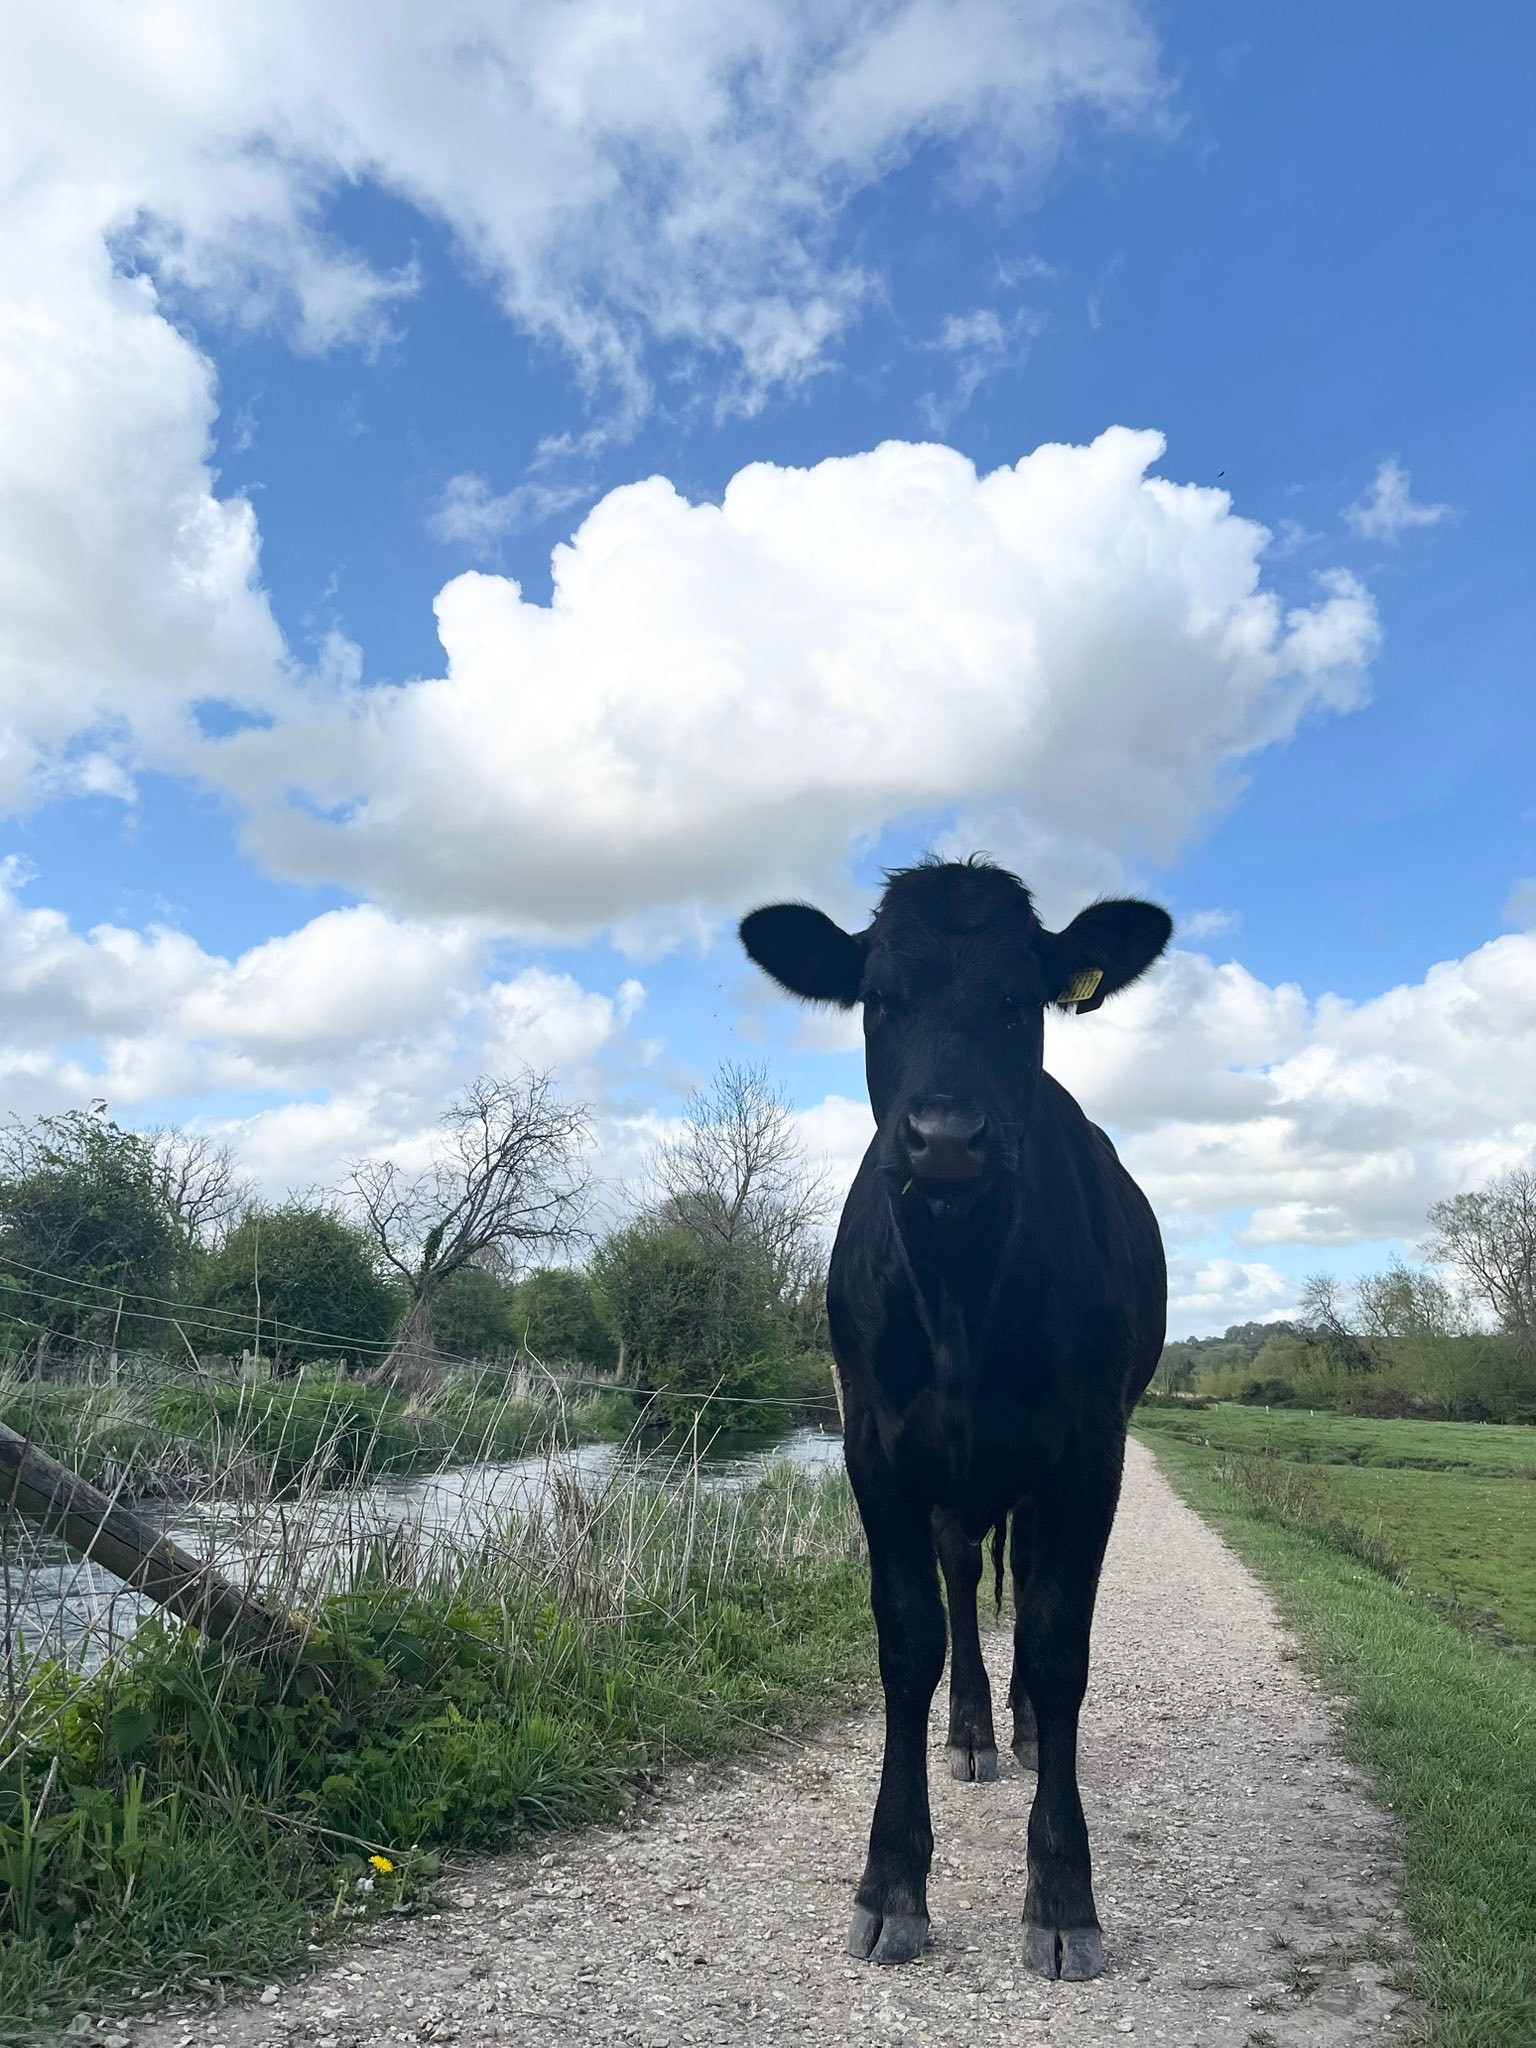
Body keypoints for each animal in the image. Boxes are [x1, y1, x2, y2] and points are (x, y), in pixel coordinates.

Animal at [739, 856, 1170, 1981]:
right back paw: (973, 1726)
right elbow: (908, 1641)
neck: (962, 1292)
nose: (945, 1139)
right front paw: (891, 1881)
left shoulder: (1090, 1452)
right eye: (880, 999)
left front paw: (1063, 1895)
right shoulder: (875, 1450)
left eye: (1021, 1002)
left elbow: (1061, 1649)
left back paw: (1017, 1727)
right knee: (968, 1580)